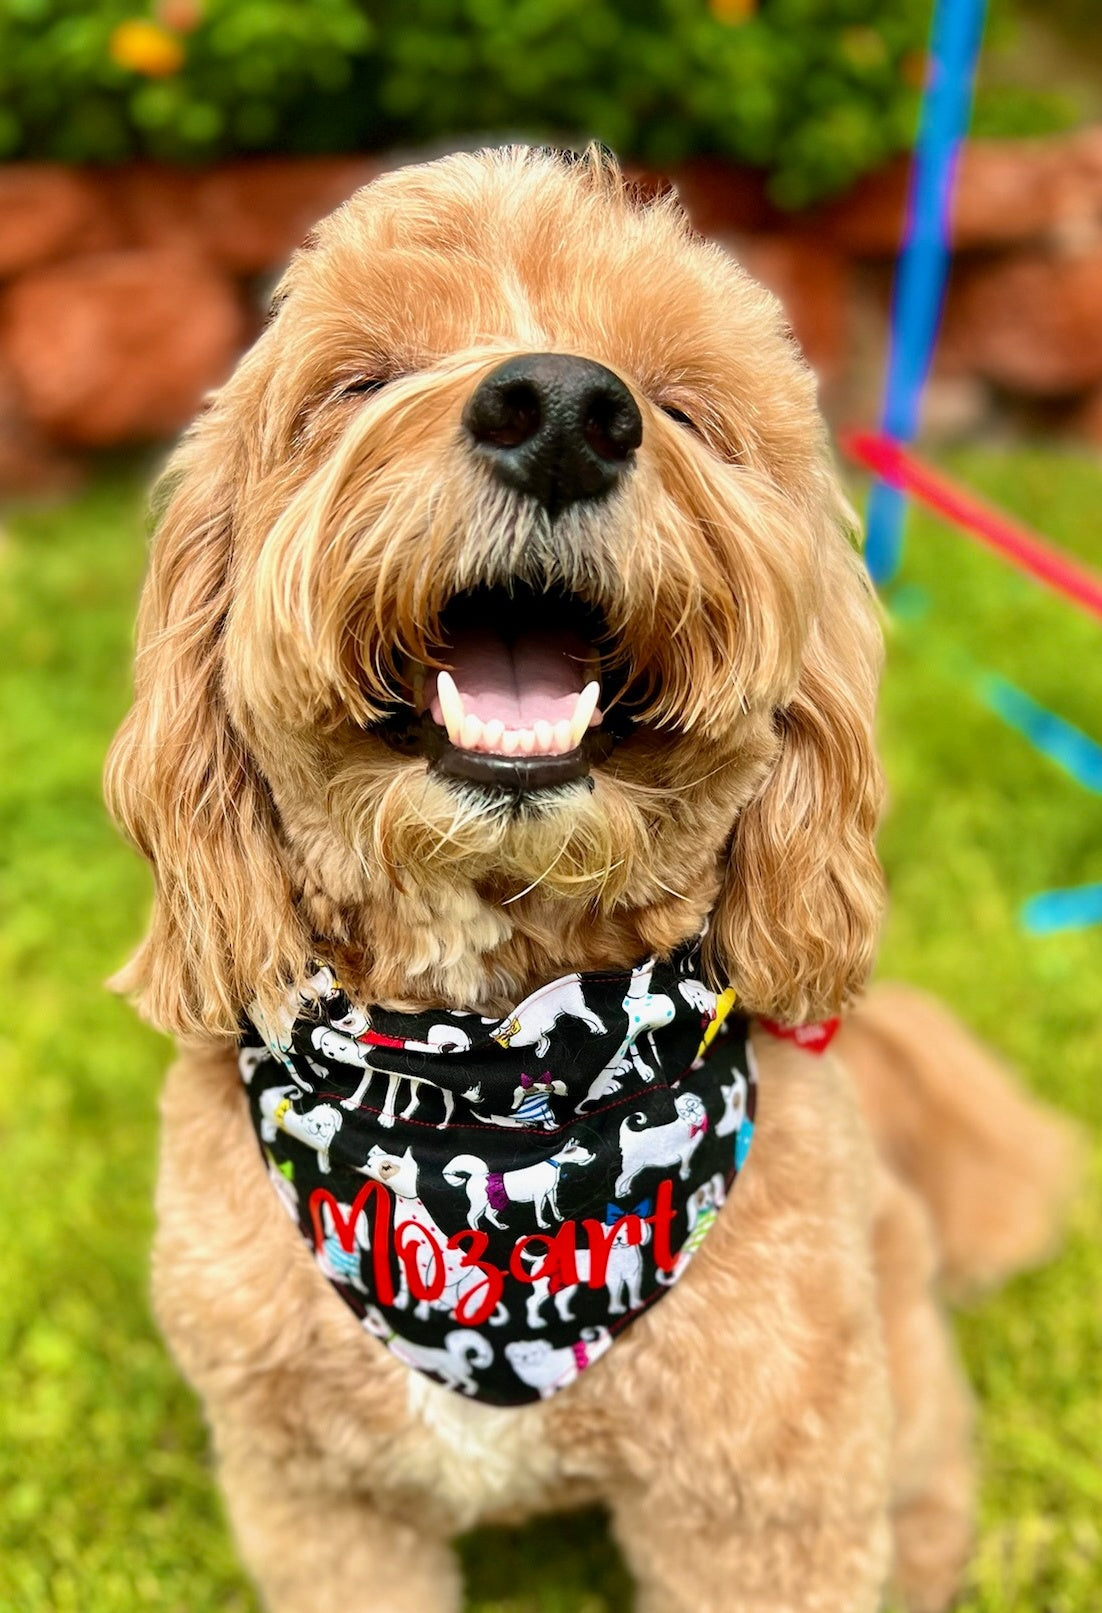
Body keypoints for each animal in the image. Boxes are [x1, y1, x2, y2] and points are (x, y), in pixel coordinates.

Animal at [108, 145, 1084, 1606]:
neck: (488, 1070)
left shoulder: (762, 1503)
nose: (564, 410)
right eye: (360, 379)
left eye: (682, 405)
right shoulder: (317, 1495)